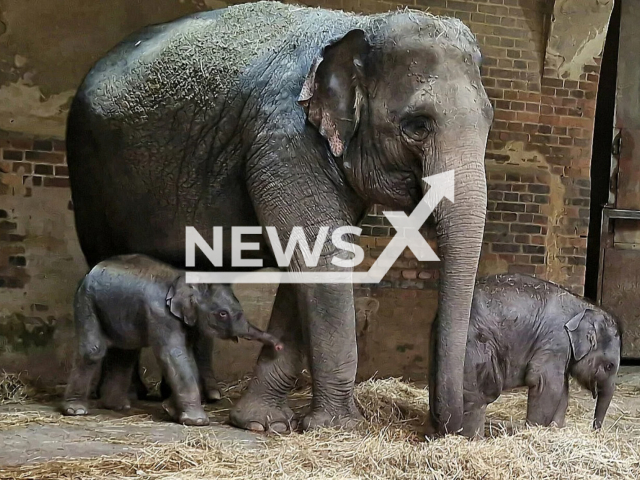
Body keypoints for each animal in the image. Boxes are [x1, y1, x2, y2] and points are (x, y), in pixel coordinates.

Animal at [63, 253, 282, 426]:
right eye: (222, 314)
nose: (278, 346)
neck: (186, 280)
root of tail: (93, 269)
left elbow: (187, 356)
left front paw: (170, 410)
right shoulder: (160, 314)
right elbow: (173, 354)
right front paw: (197, 421)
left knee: (125, 353)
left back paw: (118, 406)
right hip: (87, 301)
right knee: (94, 350)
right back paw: (77, 410)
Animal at [432, 272, 624, 436]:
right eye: (610, 366)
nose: (595, 430)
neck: (584, 306)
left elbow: (562, 390)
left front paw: (555, 430)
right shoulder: (556, 341)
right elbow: (546, 383)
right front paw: (535, 431)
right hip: (476, 348)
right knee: (478, 396)